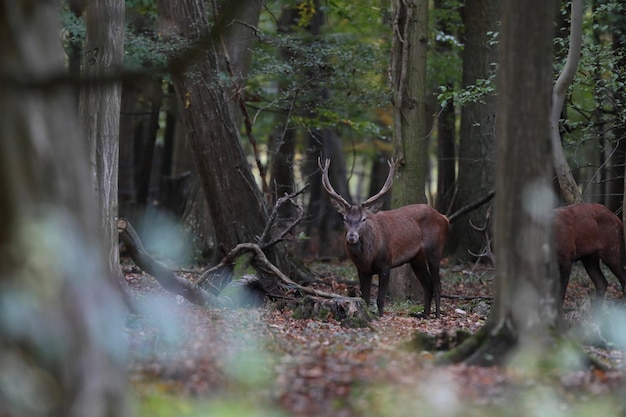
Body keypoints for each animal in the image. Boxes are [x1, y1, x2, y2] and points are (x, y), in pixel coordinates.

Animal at [320, 158, 446, 316]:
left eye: (363, 219)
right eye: (344, 218)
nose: (351, 236)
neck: (368, 257)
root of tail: (445, 218)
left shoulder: (386, 264)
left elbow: (380, 299)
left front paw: (380, 317)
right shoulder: (362, 270)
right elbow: (365, 299)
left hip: (435, 249)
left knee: (437, 284)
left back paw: (437, 315)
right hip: (417, 258)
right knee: (428, 284)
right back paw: (425, 315)